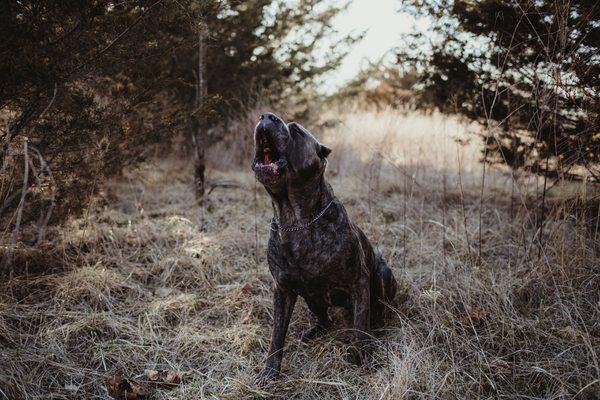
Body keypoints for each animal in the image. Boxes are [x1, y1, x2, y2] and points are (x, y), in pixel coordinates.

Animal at [252, 111, 398, 382]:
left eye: (296, 131)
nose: (266, 115)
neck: (296, 219)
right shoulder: (282, 288)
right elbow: (277, 335)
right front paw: (269, 372)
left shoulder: (358, 282)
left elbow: (360, 330)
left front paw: (366, 360)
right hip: (310, 296)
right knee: (325, 319)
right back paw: (315, 331)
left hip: (383, 275)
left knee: (378, 311)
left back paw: (378, 328)